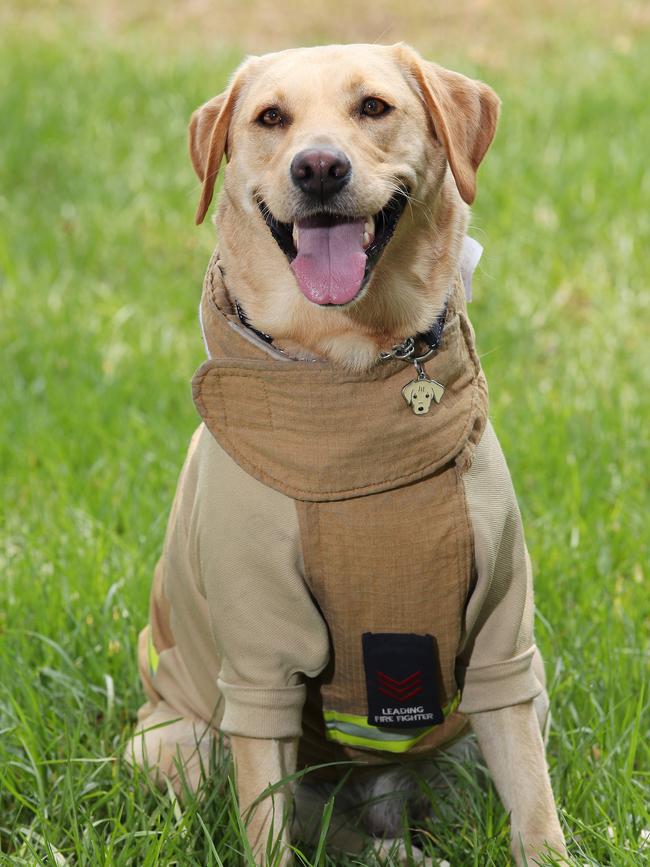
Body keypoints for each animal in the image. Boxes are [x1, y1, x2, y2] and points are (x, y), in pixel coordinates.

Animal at [129, 44, 564, 867]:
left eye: (373, 107)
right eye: (271, 117)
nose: (320, 168)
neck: (349, 377)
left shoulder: (504, 642)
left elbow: (534, 806)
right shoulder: (260, 661)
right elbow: (266, 825)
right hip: (179, 742)